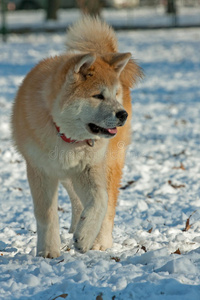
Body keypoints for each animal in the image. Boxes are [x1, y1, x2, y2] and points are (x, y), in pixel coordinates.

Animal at [11, 16, 142, 258]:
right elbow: (46, 213)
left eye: (114, 94)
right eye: (98, 96)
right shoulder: (40, 169)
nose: (122, 115)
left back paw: (99, 240)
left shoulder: (89, 167)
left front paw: (85, 236)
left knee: (108, 203)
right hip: (66, 176)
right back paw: (75, 227)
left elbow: (100, 200)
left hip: (108, 163)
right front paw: (48, 250)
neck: (65, 135)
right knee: (77, 200)